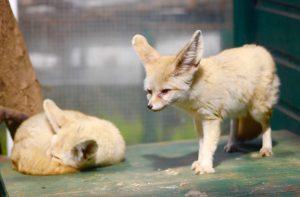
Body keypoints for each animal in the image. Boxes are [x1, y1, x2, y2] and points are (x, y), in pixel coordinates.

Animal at [132, 29, 280, 174]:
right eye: (149, 91)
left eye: (165, 91)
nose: (149, 106)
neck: (196, 88)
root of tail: (258, 47)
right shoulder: (198, 119)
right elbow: (202, 145)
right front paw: (200, 162)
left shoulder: (210, 119)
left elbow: (208, 145)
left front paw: (205, 167)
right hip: (236, 107)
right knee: (235, 122)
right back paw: (232, 144)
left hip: (257, 110)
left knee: (267, 125)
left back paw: (266, 148)